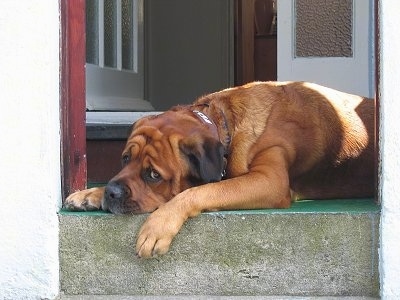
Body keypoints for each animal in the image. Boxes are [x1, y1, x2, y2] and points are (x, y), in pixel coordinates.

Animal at [65, 81, 376, 258]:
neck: (222, 124)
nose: (113, 192)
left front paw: (159, 225)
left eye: (154, 175)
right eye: (124, 159)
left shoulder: (269, 181)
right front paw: (91, 193)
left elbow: (204, 190)